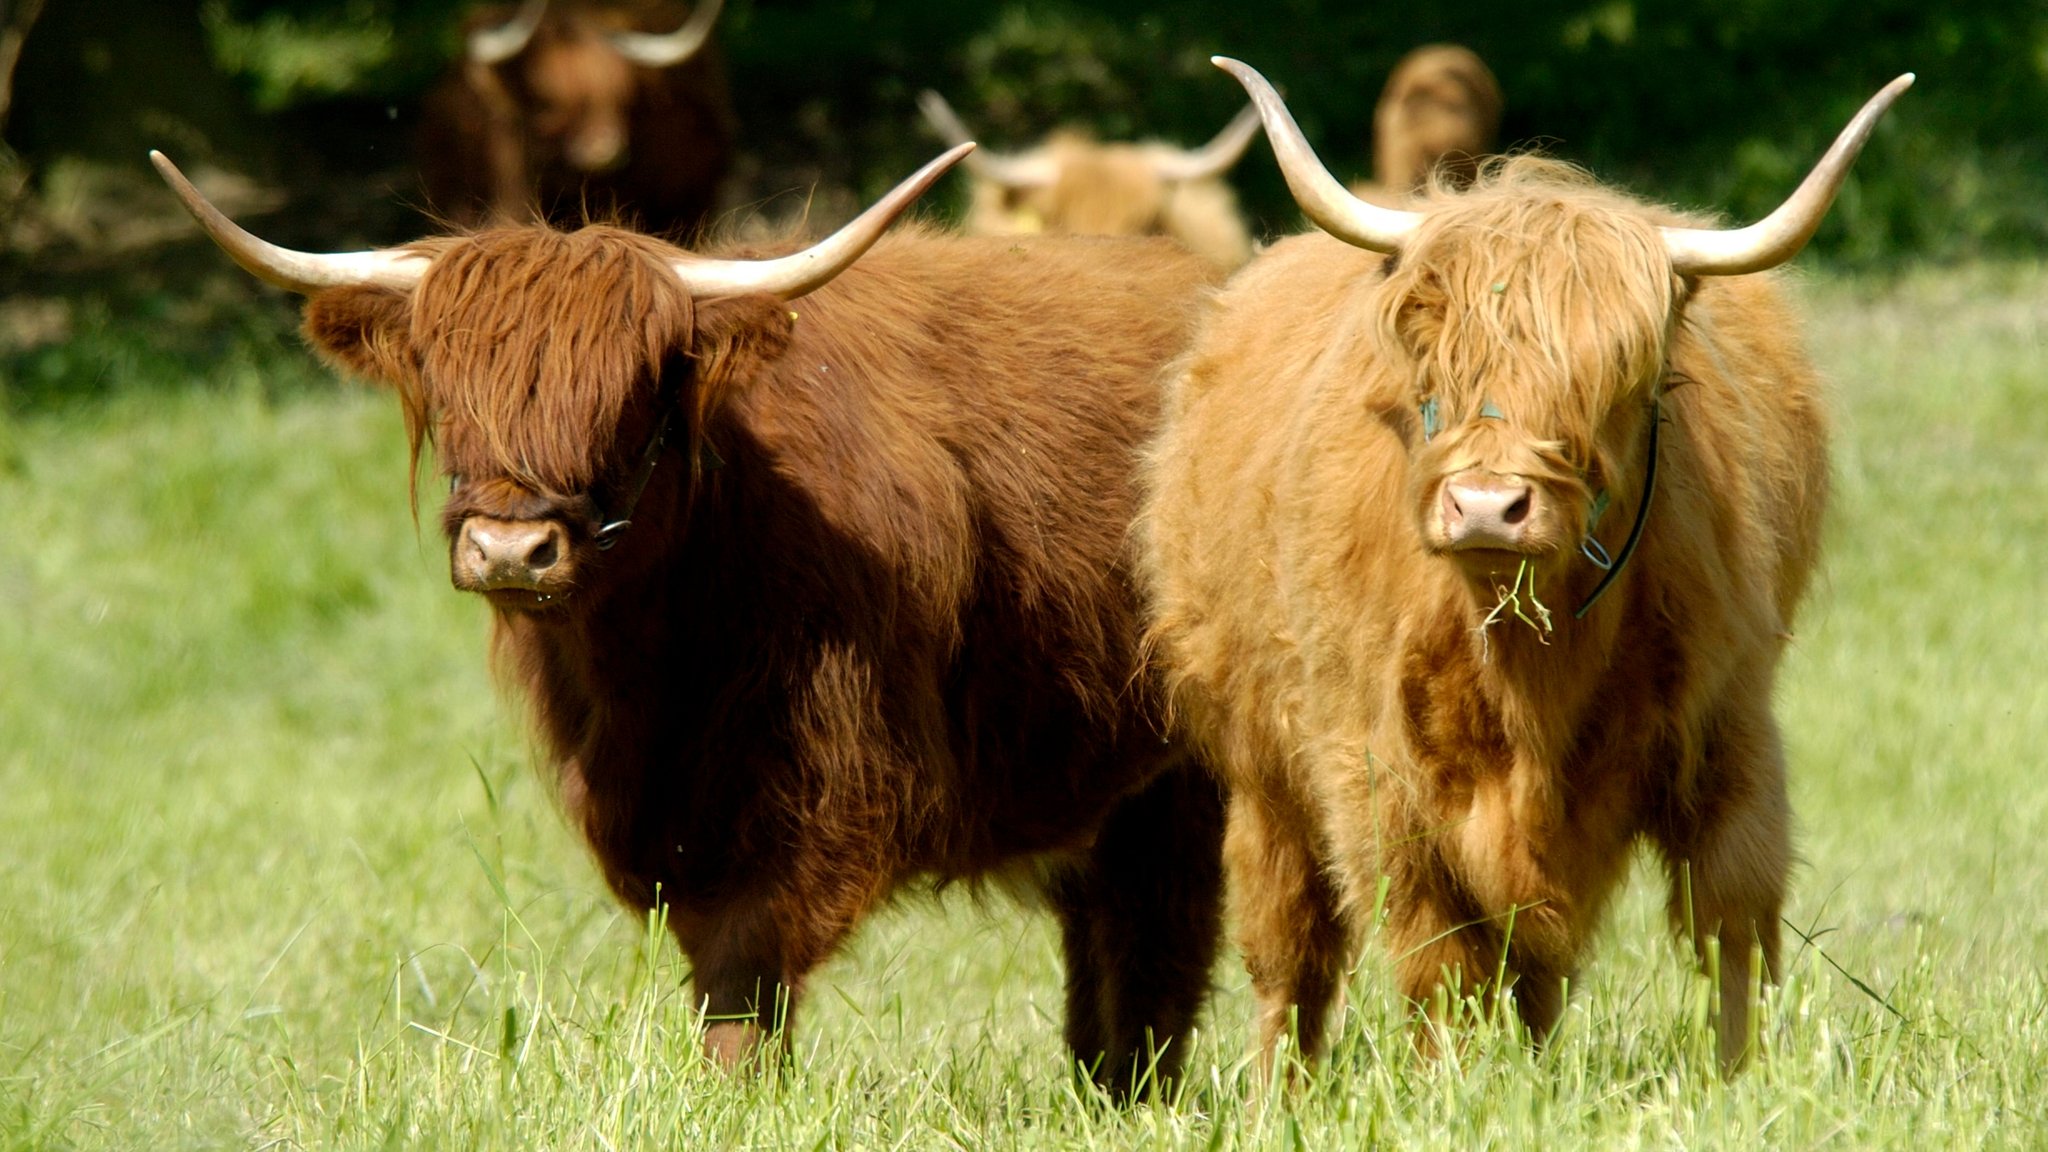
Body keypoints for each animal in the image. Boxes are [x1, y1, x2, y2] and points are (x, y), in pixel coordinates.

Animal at [155, 143, 1228, 1082]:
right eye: (446, 388)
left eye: (635, 397)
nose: (510, 551)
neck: (655, 654)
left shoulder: (823, 780)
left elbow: (744, 972)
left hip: (1190, 772)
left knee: (1159, 942)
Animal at [1146, 60, 1908, 1065]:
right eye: (1433, 357)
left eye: (1618, 373)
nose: (1485, 506)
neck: (1533, 668)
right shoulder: (1381, 772)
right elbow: (1437, 952)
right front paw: (1449, 1081)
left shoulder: (1729, 726)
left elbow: (1729, 920)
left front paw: (1736, 1074)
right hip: (1263, 765)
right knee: (1289, 951)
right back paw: (1283, 1089)